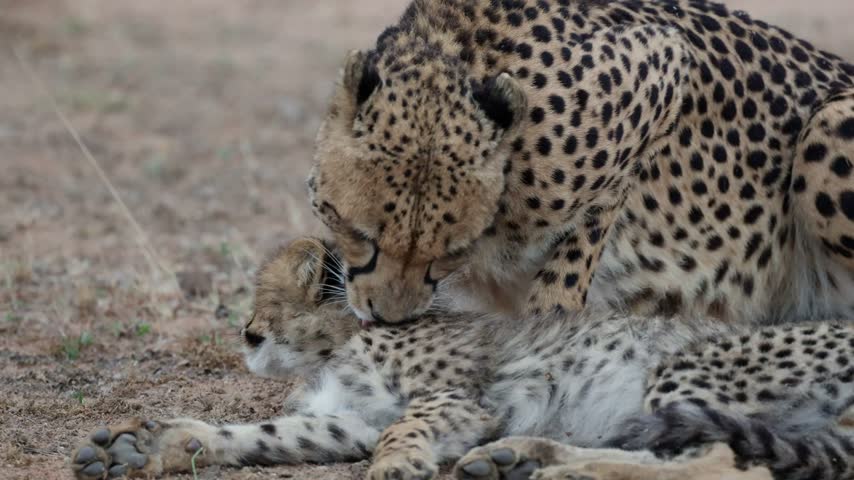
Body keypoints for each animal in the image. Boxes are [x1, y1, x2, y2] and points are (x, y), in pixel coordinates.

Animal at [70, 237, 854, 480]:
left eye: (288, 290)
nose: (248, 333)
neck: (343, 342)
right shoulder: (342, 421)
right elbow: (265, 435)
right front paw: (163, 443)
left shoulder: (462, 398)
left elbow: (403, 426)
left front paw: (398, 464)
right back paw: (524, 457)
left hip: (681, 372)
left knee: (722, 461)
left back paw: (550, 464)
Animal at [306, 0, 854, 327]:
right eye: (358, 233)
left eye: (450, 251)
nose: (390, 318)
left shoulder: (663, 64)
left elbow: (572, 263)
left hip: (827, 126)